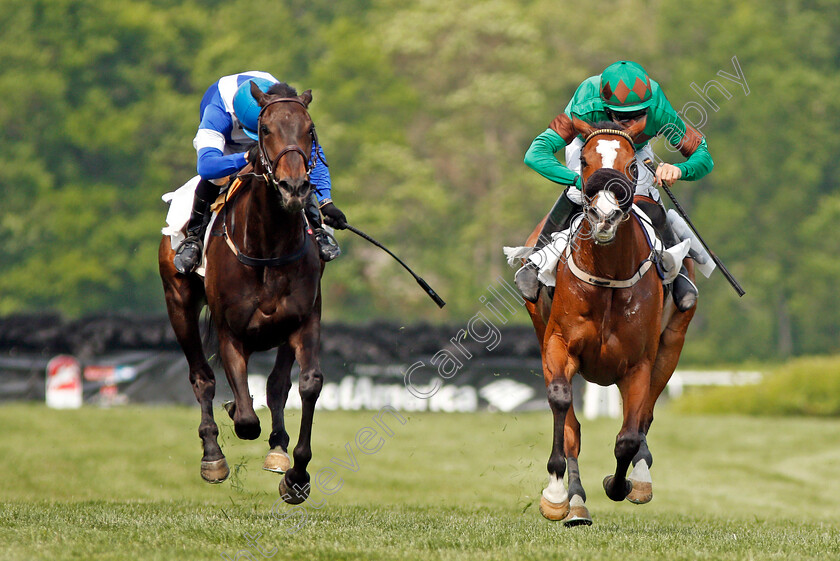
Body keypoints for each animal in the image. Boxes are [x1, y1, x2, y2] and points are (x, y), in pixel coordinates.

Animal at [159, 80, 324, 504]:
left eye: (309, 130)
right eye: (265, 129)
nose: (295, 187)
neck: (268, 246)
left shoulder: (304, 320)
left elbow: (306, 384)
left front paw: (296, 474)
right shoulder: (230, 331)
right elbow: (246, 418)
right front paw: (234, 414)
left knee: (277, 386)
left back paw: (278, 449)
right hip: (178, 303)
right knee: (202, 377)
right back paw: (213, 455)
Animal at [524, 117, 696, 524]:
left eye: (632, 166)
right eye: (584, 162)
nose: (604, 216)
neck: (606, 276)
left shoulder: (638, 363)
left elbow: (629, 436)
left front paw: (621, 484)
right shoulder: (558, 344)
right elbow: (562, 406)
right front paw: (556, 494)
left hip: (672, 345)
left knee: (645, 416)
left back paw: (641, 477)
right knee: (573, 423)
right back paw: (574, 503)